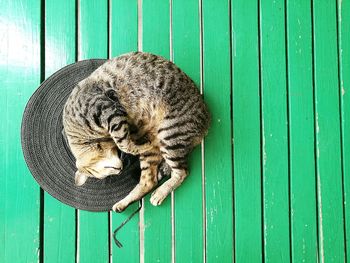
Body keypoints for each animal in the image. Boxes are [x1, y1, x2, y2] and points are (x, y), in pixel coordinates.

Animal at [62, 52, 211, 212]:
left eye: (107, 169)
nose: (120, 170)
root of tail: (206, 122)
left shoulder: (108, 110)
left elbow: (122, 142)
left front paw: (136, 144)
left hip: (169, 134)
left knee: (182, 172)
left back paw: (160, 192)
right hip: (155, 151)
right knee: (149, 181)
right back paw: (123, 203)